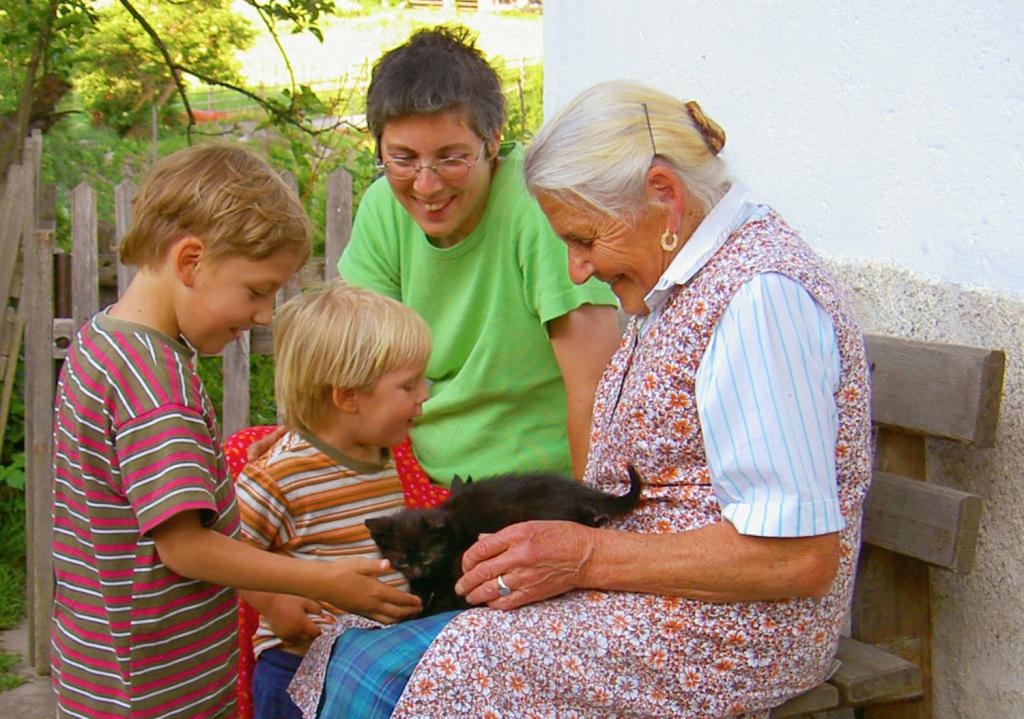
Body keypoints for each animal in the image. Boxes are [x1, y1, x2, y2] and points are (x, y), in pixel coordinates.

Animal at [366, 471, 638, 618]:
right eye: (401, 561)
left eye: (426, 558)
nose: (416, 572)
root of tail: (572, 491)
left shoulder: (454, 567)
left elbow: (444, 596)